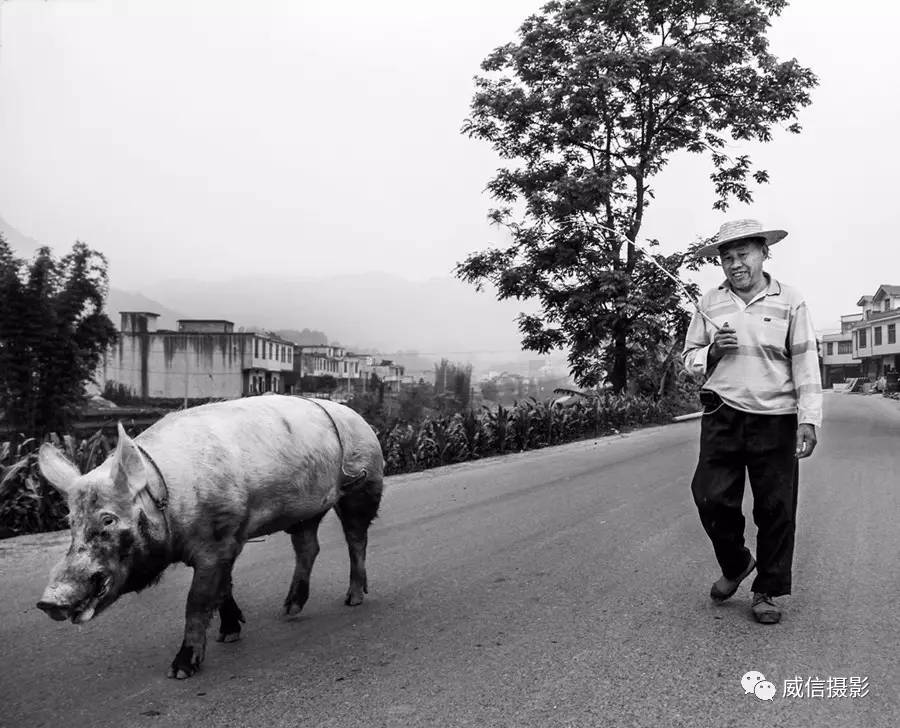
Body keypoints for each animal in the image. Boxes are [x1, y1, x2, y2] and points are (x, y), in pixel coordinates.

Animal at [35, 396, 384, 680]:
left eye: (108, 519)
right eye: (71, 522)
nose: (48, 601)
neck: (166, 500)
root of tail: (360, 419)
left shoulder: (217, 540)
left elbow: (198, 600)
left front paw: (180, 670)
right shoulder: (229, 541)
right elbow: (223, 588)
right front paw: (229, 634)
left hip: (364, 486)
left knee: (356, 539)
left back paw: (353, 599)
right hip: (304, 512)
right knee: (309, 547)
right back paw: (289, 609)